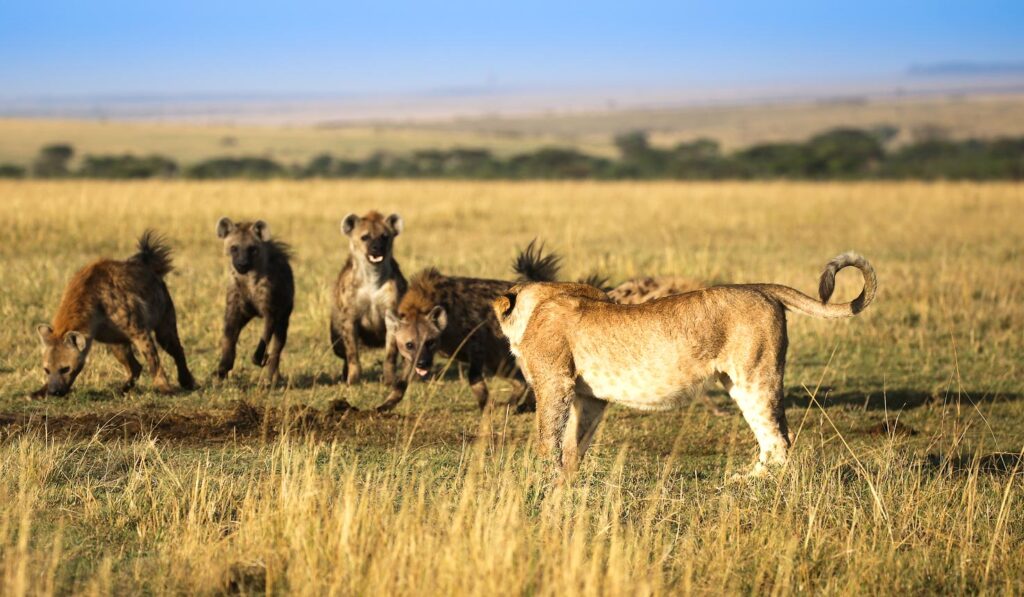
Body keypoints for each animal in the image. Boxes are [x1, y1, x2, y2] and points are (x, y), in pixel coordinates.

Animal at [32, 231, 195, 399]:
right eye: (46, 370)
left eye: (65, 368)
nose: (55, 392)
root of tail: (148, 266)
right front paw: (40, 392)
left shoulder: (139, 331)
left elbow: (153, 359)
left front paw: (165, 388)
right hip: (117, 341)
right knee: (135, 366)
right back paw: (122, 389)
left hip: (164, 317)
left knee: (175, 347)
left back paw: (186, 381)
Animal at [491, 251, 876, 481]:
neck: (538, 301)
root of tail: (760, 288)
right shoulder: (590, 397)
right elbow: (575, 441)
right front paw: (568, 480)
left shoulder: (555, 382)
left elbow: (548, 435)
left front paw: (544, 478)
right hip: (738, 382)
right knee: (771, 434)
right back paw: (746, 477)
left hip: (755, 374)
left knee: (779, 437)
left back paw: (757, 485)